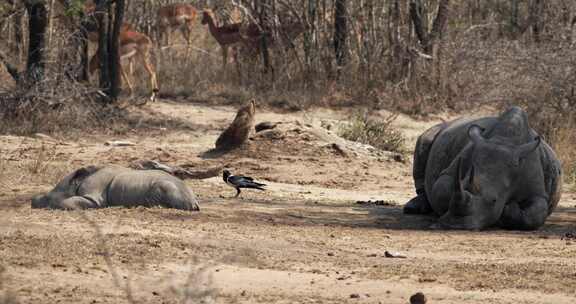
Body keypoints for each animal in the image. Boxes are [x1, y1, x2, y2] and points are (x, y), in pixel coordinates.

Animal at [33, 165, 201, 210]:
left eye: (48, 197)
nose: (33, 202)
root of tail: (193, 200)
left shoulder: (93, 198)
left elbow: (66, 202)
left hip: (170, 186)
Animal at [402, 107, 560, 230]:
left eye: (494, 200)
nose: (455, 226)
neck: (504, 140)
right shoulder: (454, 168)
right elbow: (442, 189)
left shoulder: (536, 189)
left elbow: (536, 214)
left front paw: (508, 210)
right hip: (436, 130)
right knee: (425, 140)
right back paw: (412, 208)